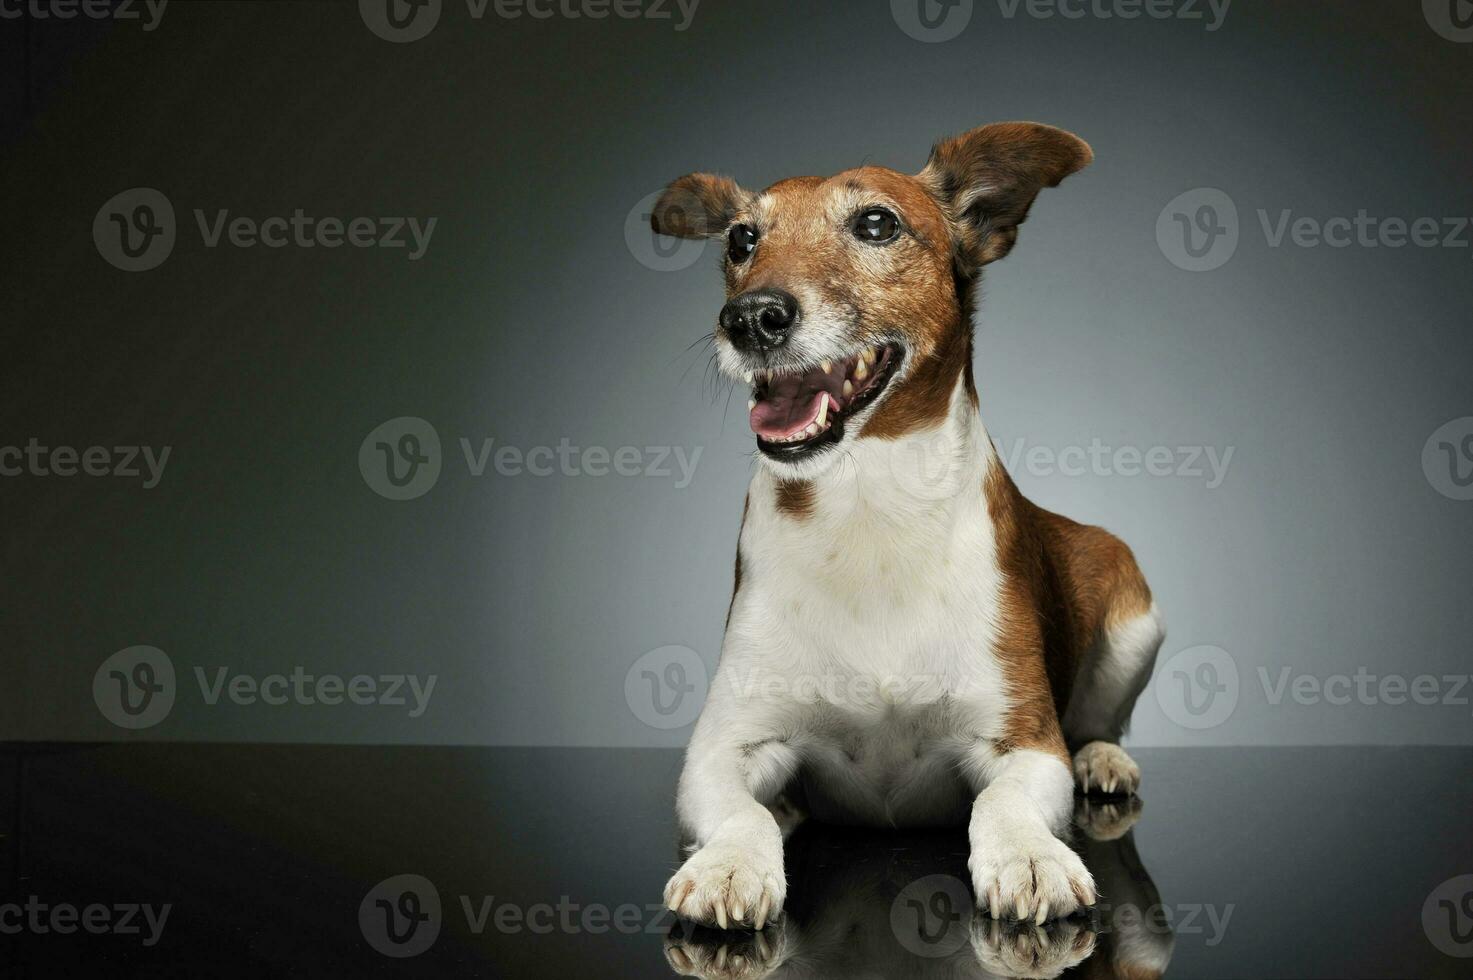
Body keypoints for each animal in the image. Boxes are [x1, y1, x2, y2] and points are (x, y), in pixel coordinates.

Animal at [651, 122, 1166, 931]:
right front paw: (730, 863)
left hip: (1131, 613)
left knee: (1096, 723)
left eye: (875, 224)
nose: (750, 318)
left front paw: (1030, 855)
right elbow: (744, 810)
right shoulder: (724, 745)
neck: (870, 506)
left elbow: (1002, 801)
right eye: (741, 239)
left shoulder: (1025, 741)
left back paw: (1102, 761)